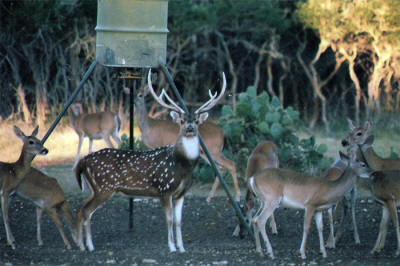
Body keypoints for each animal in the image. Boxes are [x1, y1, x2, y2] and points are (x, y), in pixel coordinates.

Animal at [74, 69, 225, 252]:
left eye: (196, 121)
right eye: (182, 121)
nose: (189, 128)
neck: (183, 165)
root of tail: (83, 162)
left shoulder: (181, 193)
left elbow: (179, 221)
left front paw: (182, 248)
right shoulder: (164, 189)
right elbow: (169, 220)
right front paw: (172, 247)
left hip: (93, 188)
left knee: (81, 209)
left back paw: (81, 244)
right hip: (104, 187)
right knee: (86, 211)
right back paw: (88, 246)